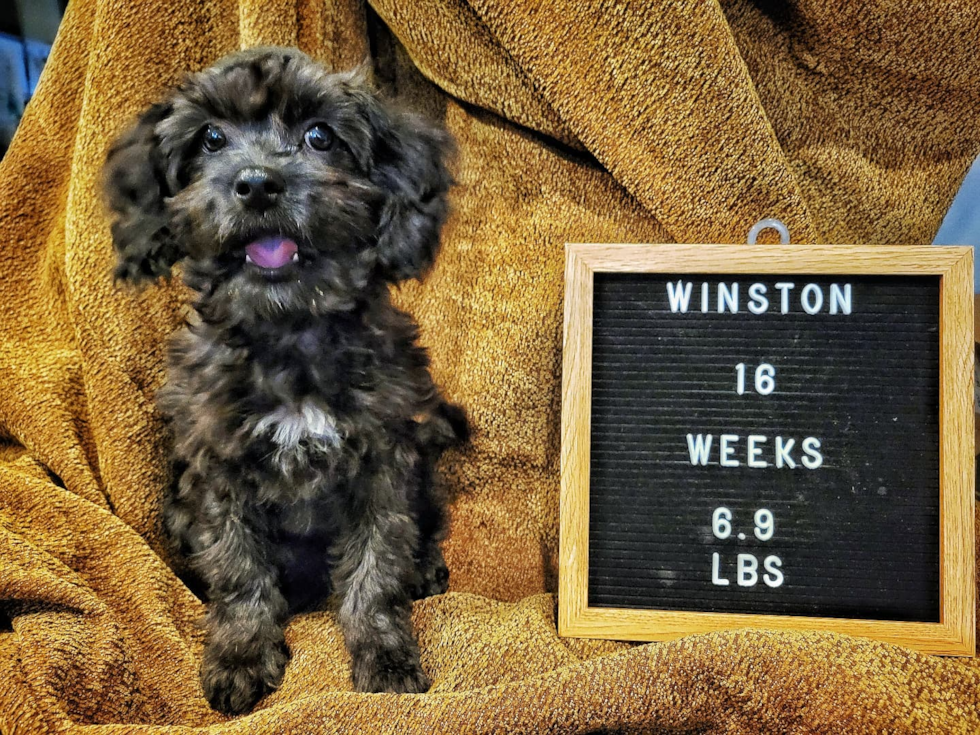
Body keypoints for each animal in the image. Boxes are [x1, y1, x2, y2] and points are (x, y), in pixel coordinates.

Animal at [101, 49, 468, 716]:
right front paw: (241, 658)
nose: (257, 184)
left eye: (320, 136)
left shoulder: (384, 464)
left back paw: (426, 570)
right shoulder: (217, 473)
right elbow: (239, 572)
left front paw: (386, 657)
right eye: (211, 138)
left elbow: (376, 568)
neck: (290, 331)